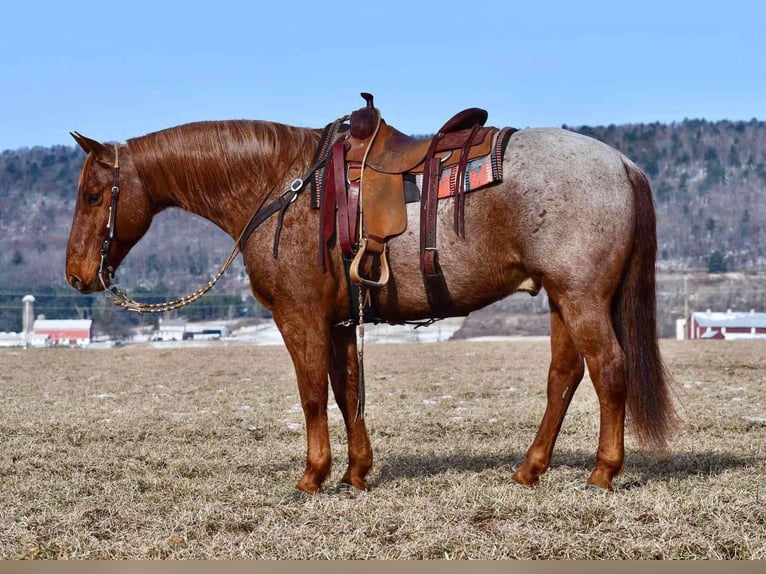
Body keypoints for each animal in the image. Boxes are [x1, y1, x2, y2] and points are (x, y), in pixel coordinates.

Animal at [64, 103, 680, 496]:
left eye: (94, 195)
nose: (76, 275)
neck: (281, 187)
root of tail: (623, 165)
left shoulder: (300, 316)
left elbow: (312, 393)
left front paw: (313, 476)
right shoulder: (340, 321)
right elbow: (346, 392)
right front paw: (356, 472)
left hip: (581, 296)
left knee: (609, 369)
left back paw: (602, 472)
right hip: (560, 298)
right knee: (564, 377)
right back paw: (530, 470)